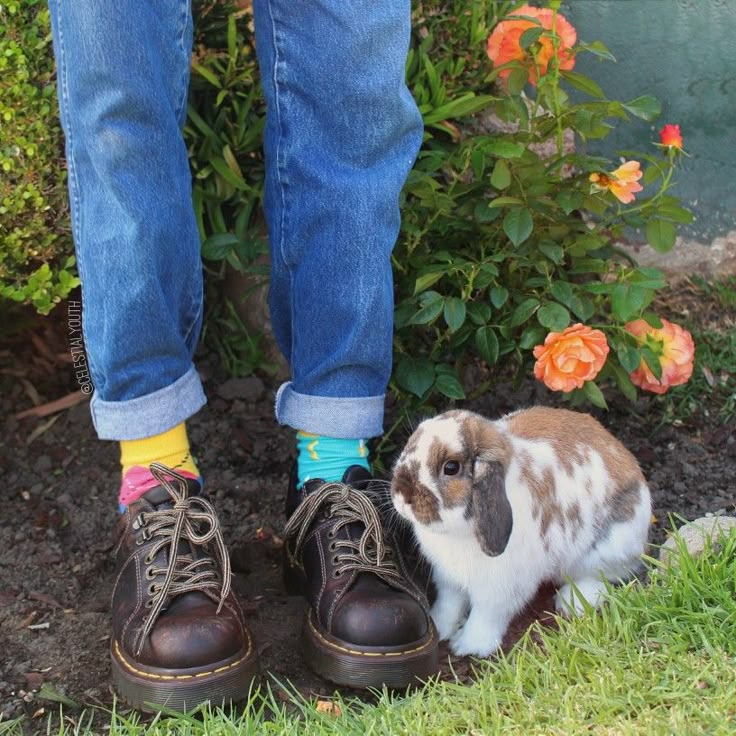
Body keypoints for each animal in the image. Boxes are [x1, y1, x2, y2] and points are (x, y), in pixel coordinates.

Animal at [392, 406, 648, 660]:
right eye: (410, 444)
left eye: (451, 467)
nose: (402, 494)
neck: (457, 532)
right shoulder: (448, 580)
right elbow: (449, 605)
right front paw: (439, 627)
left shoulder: (499, 590)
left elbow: (485, 617)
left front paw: (467, 646)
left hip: (605, 549)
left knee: (603, 577)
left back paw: (571, 602)